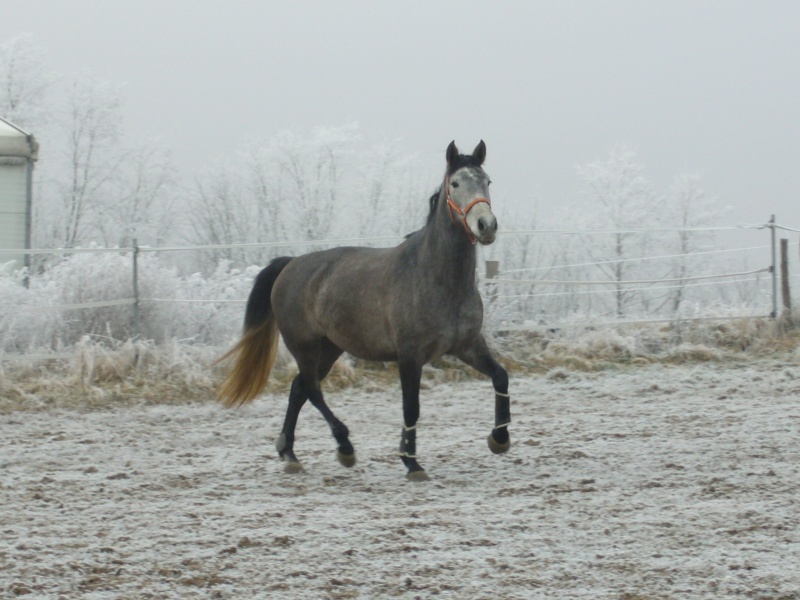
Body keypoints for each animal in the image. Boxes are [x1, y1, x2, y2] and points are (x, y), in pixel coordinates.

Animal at [216, 139, 510, 478]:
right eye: (456, 183)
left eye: (487, 181)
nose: (486, 225)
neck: (436, 278)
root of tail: (290, 264)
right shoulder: (410, 356)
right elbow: (411, 407)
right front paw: (411, 462)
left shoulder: (467, 345)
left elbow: (501, 376)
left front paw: (499, 438)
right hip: (304, 346)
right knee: (312, 389)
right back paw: (344, 447)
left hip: (329, 348)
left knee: (299, 388)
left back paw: (289, 453)